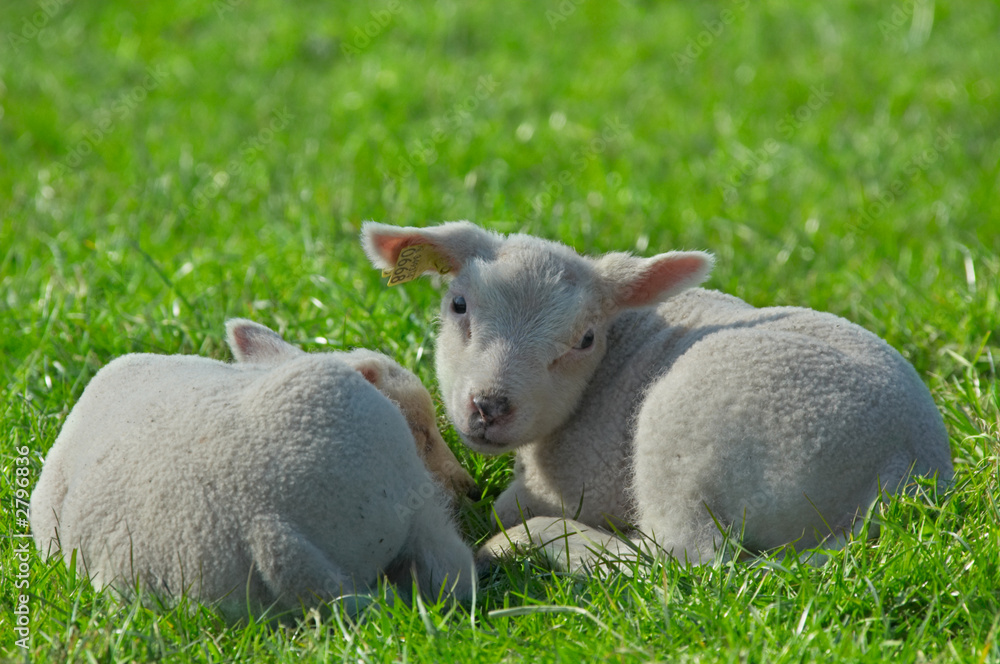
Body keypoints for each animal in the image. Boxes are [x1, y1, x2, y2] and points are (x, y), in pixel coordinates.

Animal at [362, 220, 952, 568]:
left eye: (585, 339)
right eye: (458, 305)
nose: (489, 407)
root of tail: (902, 472)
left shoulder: (584, 479)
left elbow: (509, 504)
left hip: (690, 430)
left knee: (681, 560)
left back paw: (532, 542)